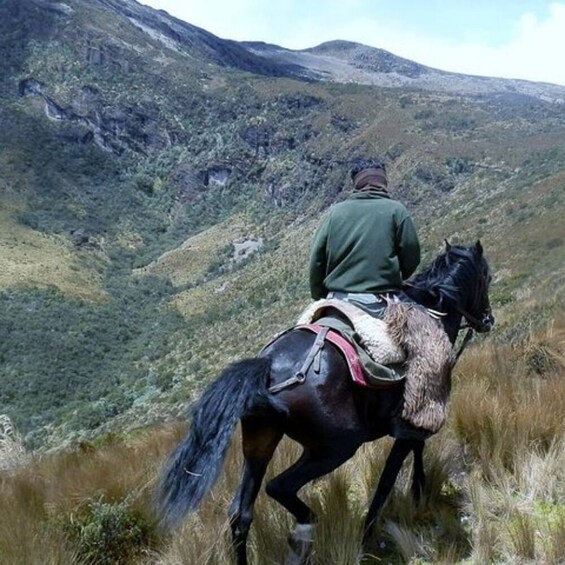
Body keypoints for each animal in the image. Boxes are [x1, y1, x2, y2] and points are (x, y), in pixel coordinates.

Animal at [156, 240, 492, 560]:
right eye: (486, 277)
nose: (487, 320)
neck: (433, 308)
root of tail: (269, 366)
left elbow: (414, 452)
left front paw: (418, 491)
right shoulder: (412, 418)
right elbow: (387, 481)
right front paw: (372, 533)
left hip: (259, 443)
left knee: (241, 515)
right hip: (336, 447)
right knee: (279, 487)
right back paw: (306, 532)